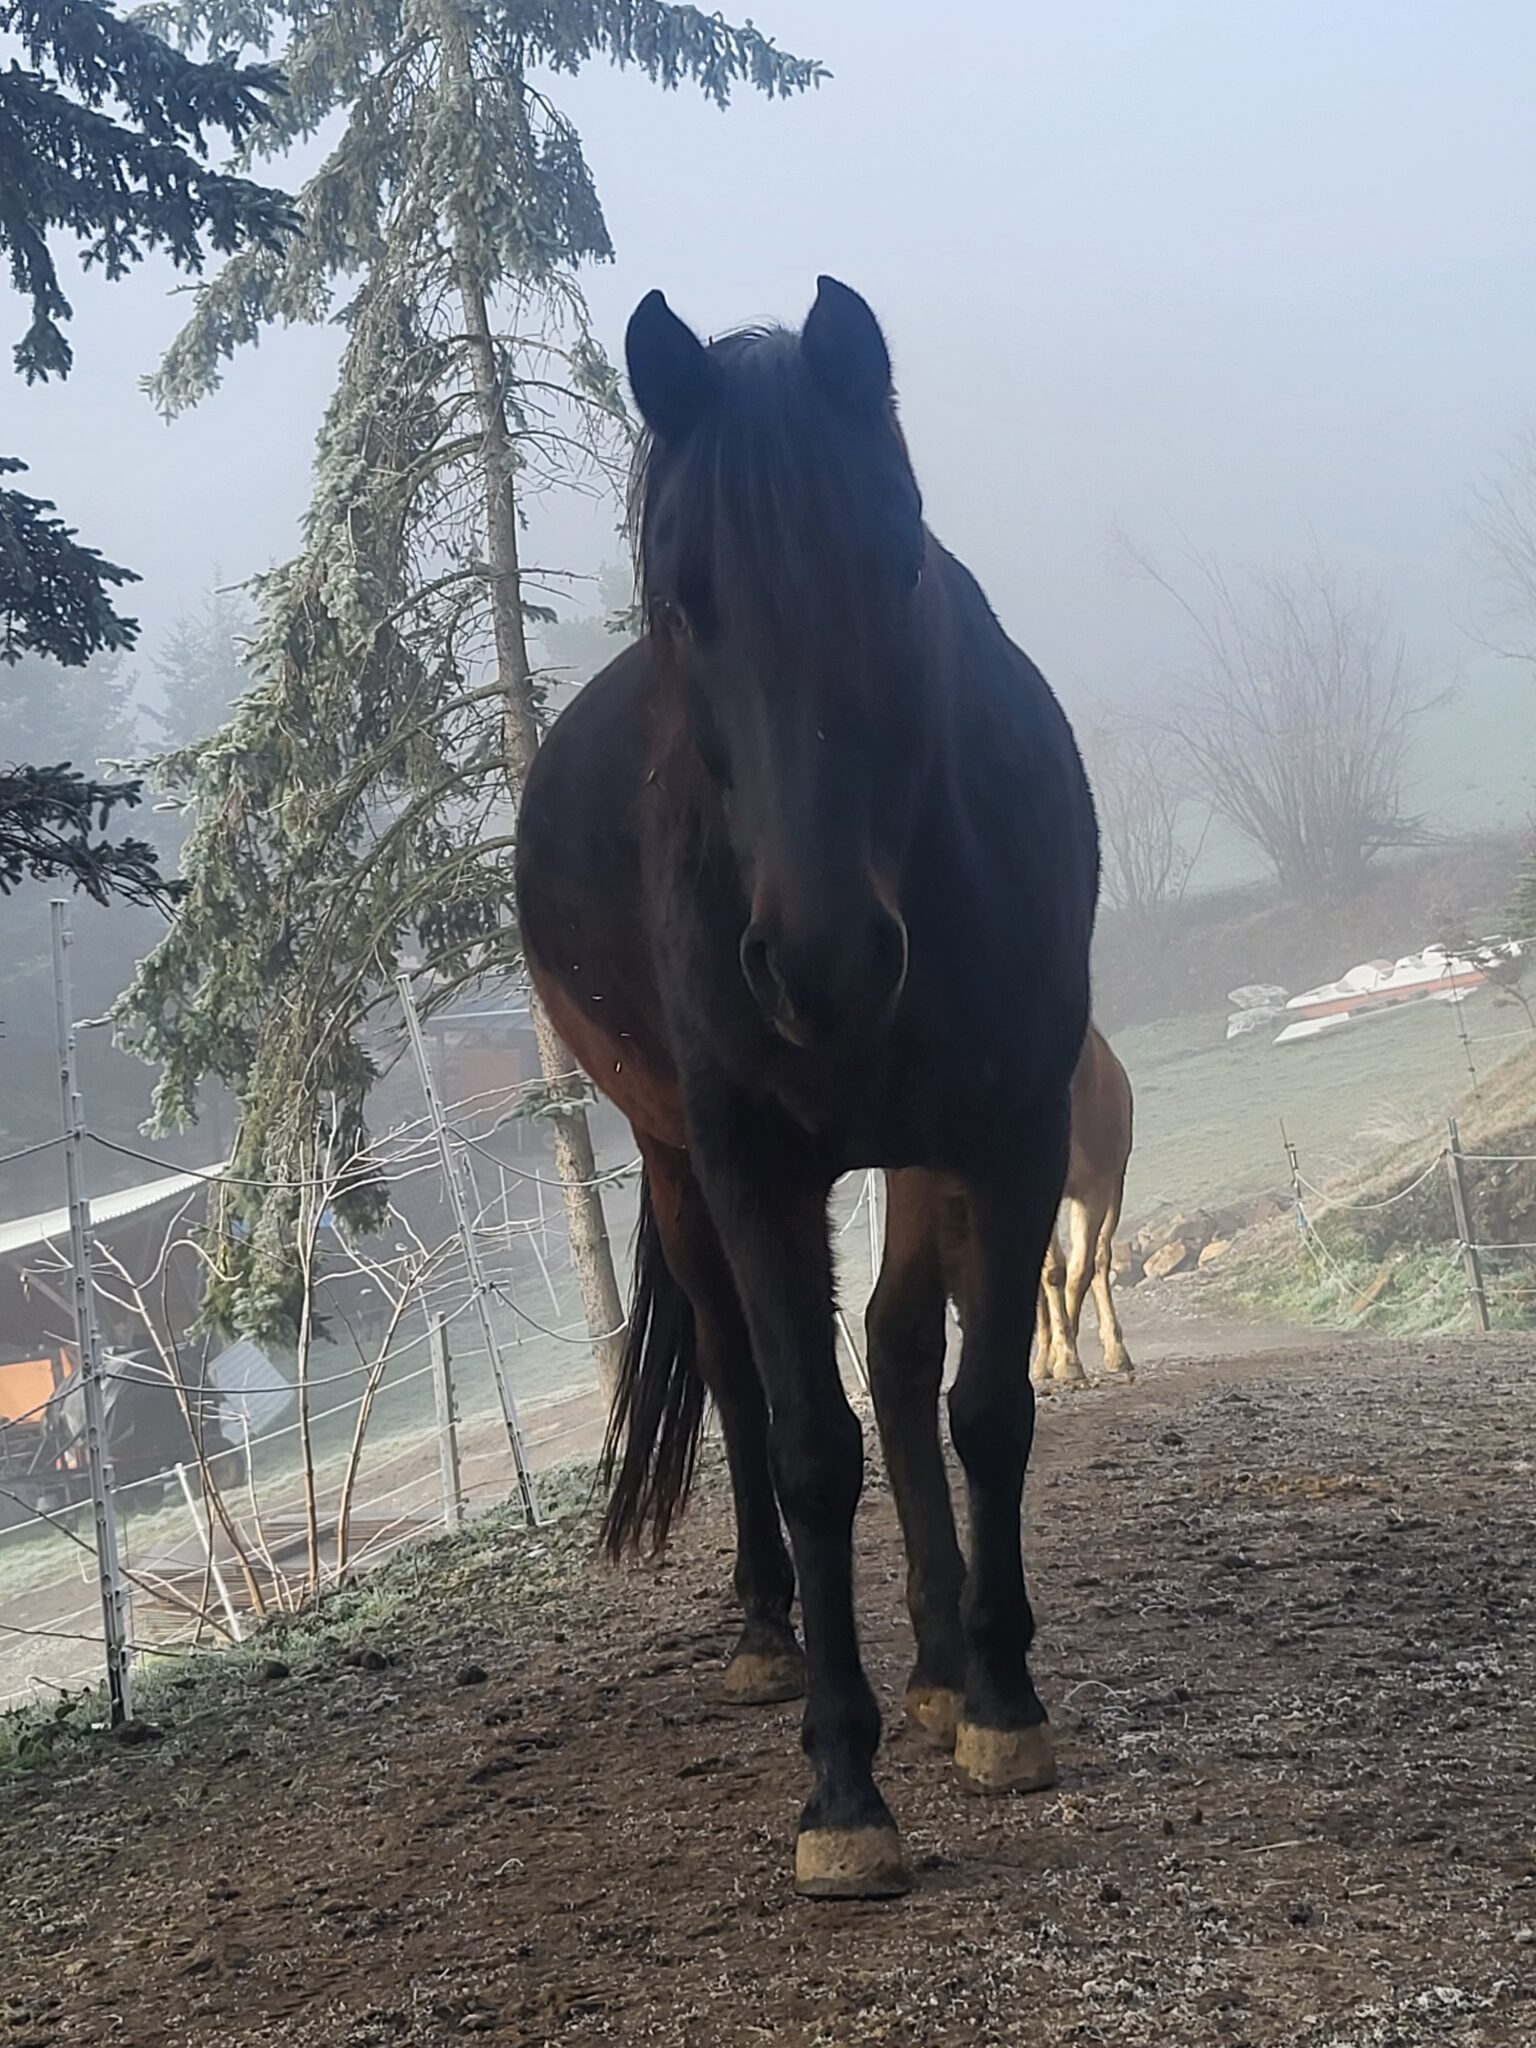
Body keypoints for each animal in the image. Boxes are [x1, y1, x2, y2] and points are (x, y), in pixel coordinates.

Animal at [515, 278, 1099, 1900]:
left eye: (894, 557)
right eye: (678, 600)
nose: (824, 957)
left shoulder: (1011, 1128)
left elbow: (984, 1406)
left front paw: (1002, 1695)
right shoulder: (753, 1161)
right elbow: (806, 1445)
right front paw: (842, 1784)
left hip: (914, 1147)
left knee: (901, 1352)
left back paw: (947, 1661)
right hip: (674, 1162)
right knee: (734, 1375)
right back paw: (773, 1631)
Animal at [1034, 1023, 1136, 1387]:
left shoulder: (1096, 1189)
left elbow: (1081, 1271)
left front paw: (1065, 1359)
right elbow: (1052, 1272)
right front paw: (1057, 1356)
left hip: (1115, 1187)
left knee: (1102, 1259)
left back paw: (1116, 1352)